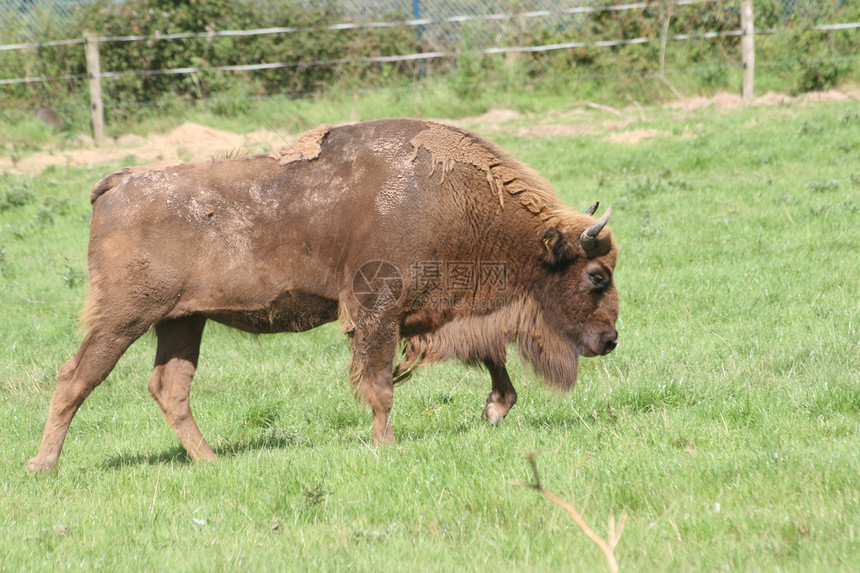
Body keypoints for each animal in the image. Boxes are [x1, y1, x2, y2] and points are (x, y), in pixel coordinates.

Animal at [26, 118, 620, 472]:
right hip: (123, 317)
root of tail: (119, 182)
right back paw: (44, 466)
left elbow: (492, 359)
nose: (611, 339)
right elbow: (380, 384)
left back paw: (212, 461)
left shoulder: (447, 317)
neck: (443, 197)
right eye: (597, 276)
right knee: (76, 377)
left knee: (169, 388)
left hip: (183, 321)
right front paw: (387, 447)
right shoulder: (378, 313)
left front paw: (494, 411)